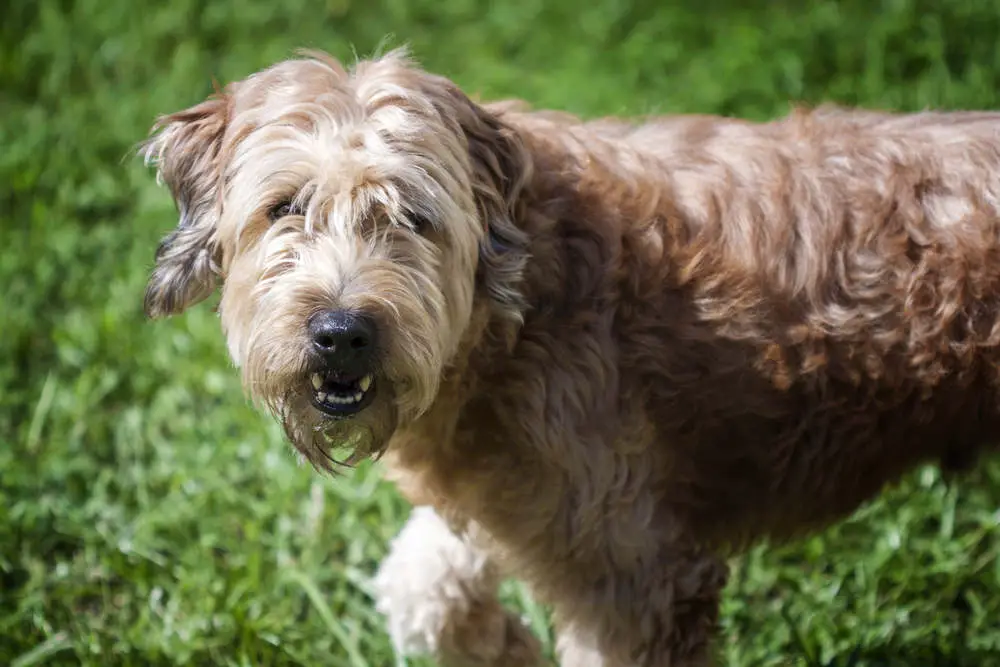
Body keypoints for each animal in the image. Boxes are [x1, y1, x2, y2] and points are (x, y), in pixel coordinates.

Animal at [145, 48, 1000, 667]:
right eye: (284, 207)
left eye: (414, 217)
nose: (342, 330)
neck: (517, 313)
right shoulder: (516, 500)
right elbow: (420, 589)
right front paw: (508, 646)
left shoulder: (637, 571)